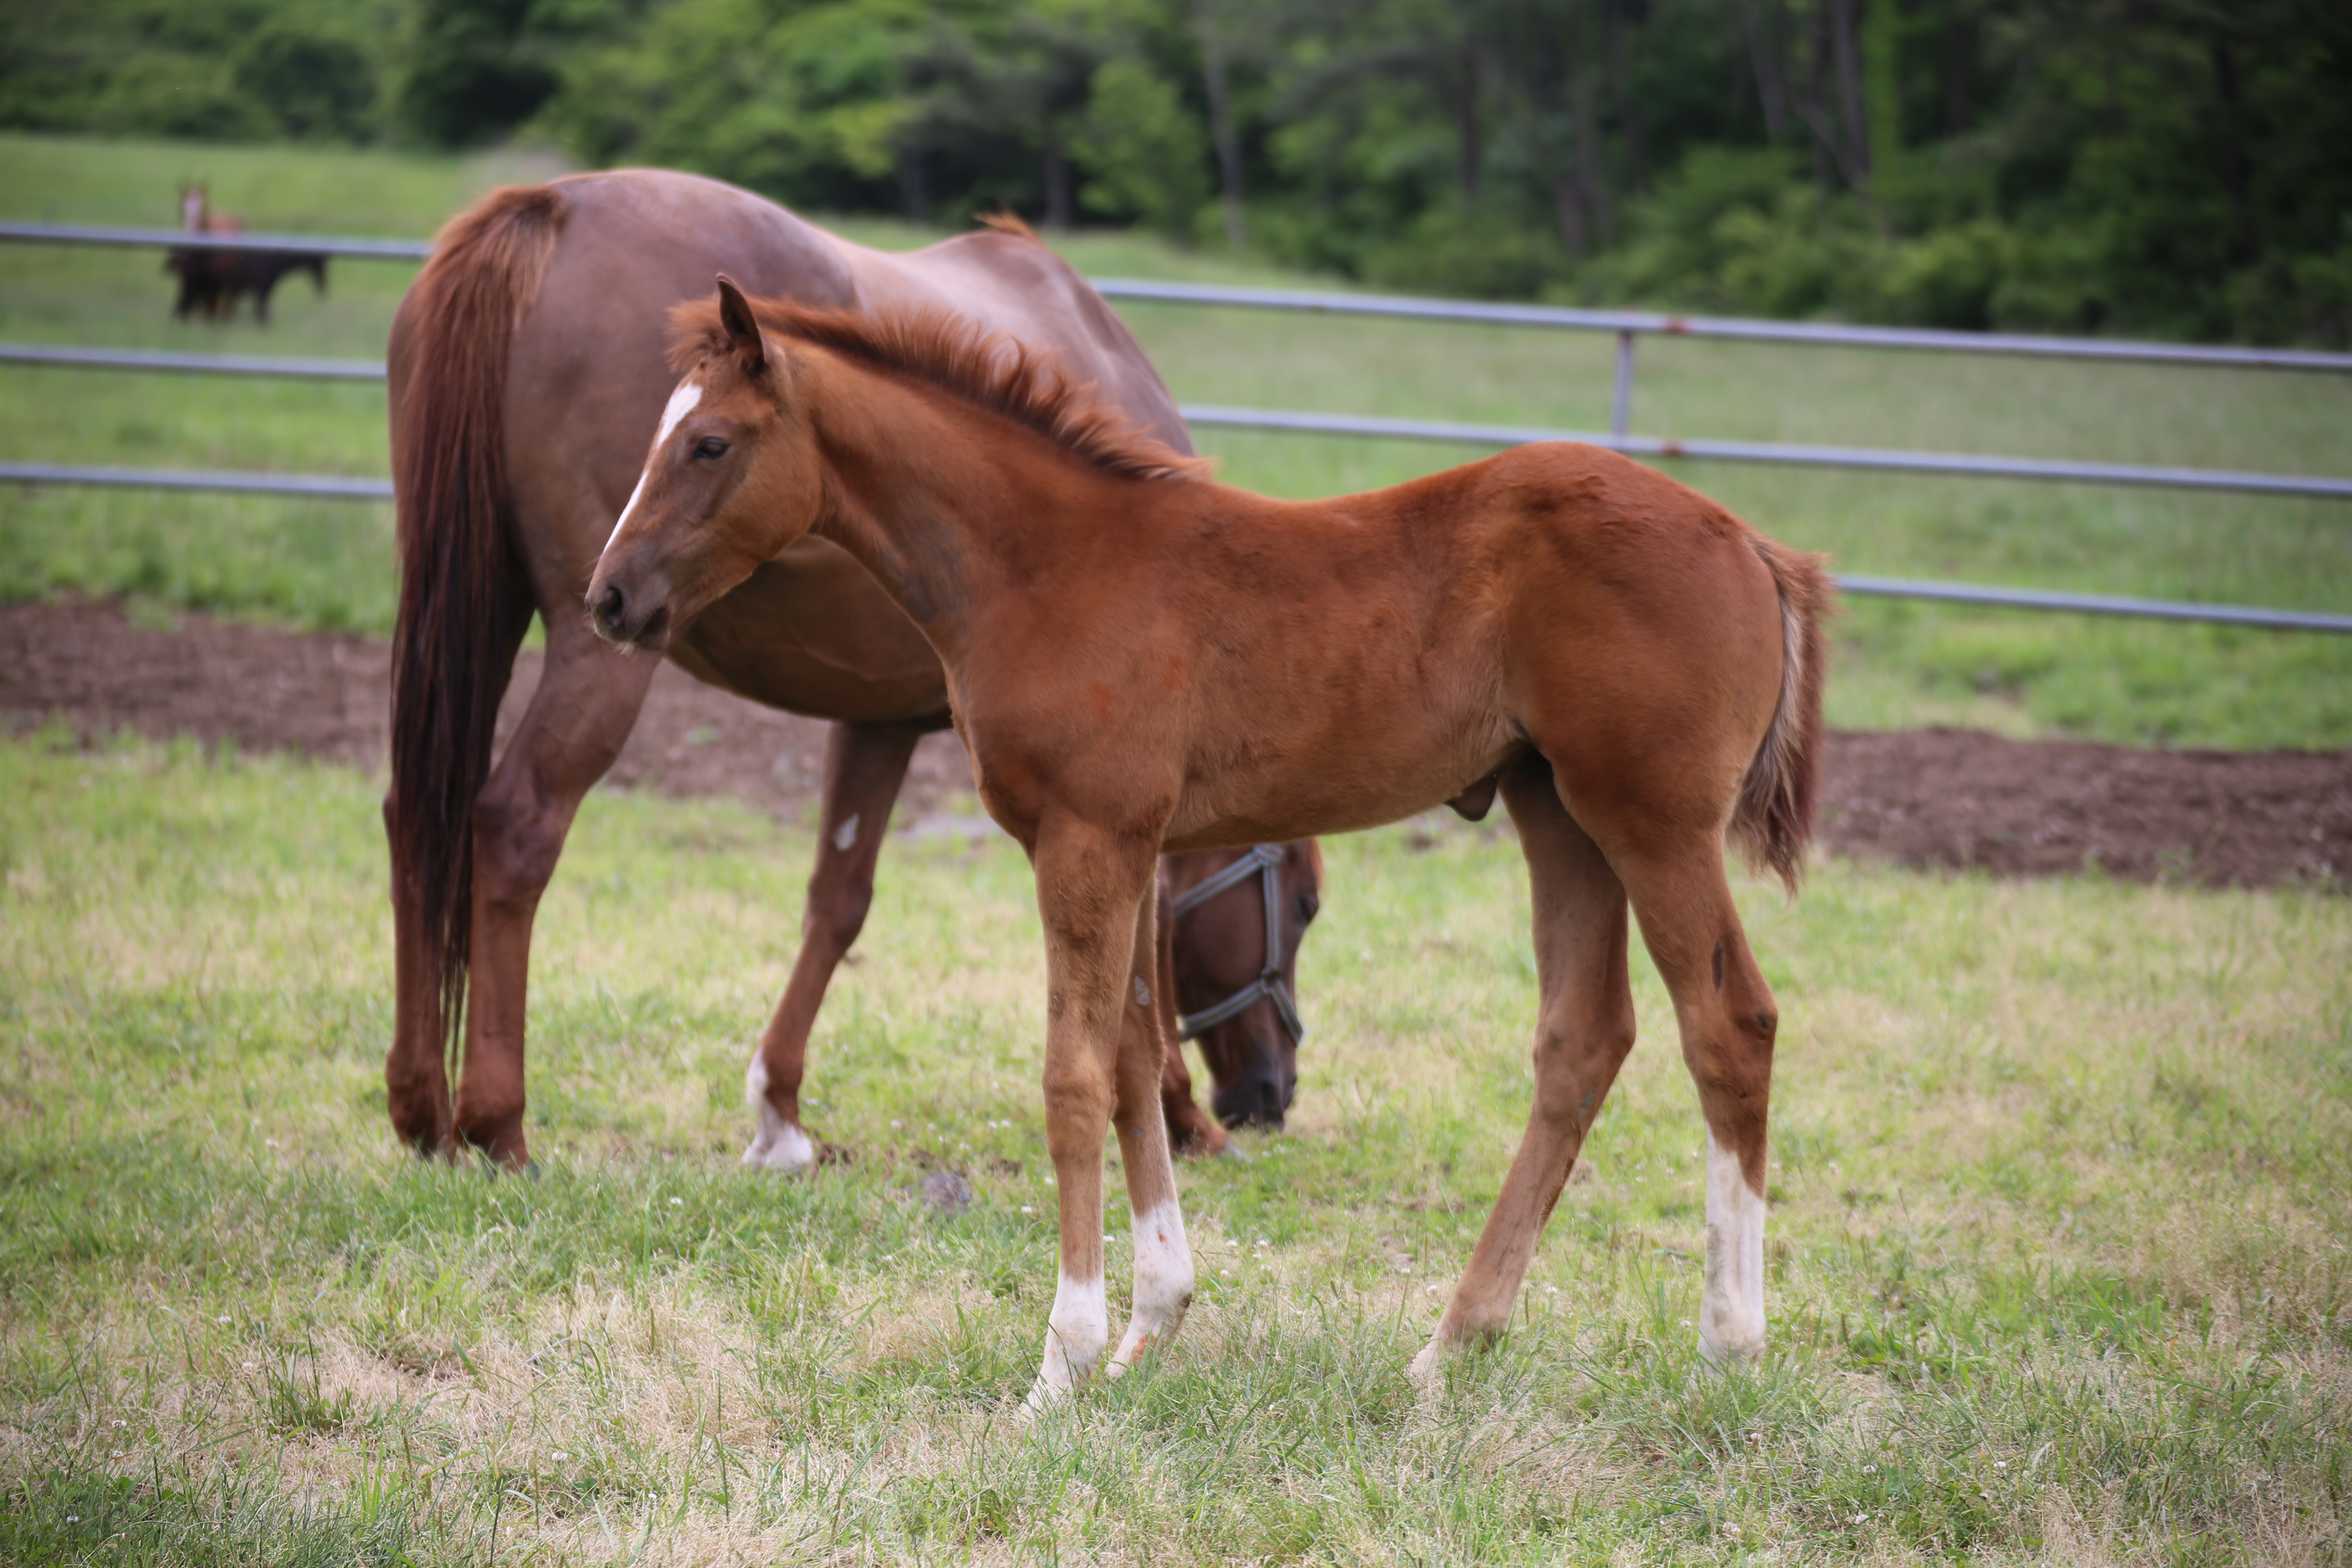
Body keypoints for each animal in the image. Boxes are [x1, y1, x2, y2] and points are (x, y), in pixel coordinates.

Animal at [390, 175, 1307, 1175]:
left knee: (418, 815)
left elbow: (838, 902)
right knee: (516, 823)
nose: (1272, 1095)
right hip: (599, 650)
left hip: (476, 614)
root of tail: (549, 205)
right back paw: (497, 1122)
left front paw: (779, 1112)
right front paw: (1177, 1113)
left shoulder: (881, 721)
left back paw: (420, 1107)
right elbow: (1148, 936)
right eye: (1302, 907)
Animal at [588, 285, 1834, 1410]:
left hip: (1650, 821)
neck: (1047, 566)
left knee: (1729, 1022)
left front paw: (1062, 1360)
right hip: (1556, 813)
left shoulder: (1086, 840)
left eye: (709, 443)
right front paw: (1154, 1324)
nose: (607, 599)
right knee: (1582, 1039)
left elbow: (1073, 1074)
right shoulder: (1134, 846)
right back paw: (1450, 1347)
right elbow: (1137, 1057)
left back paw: (1727, 1348)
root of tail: (1752, 545)